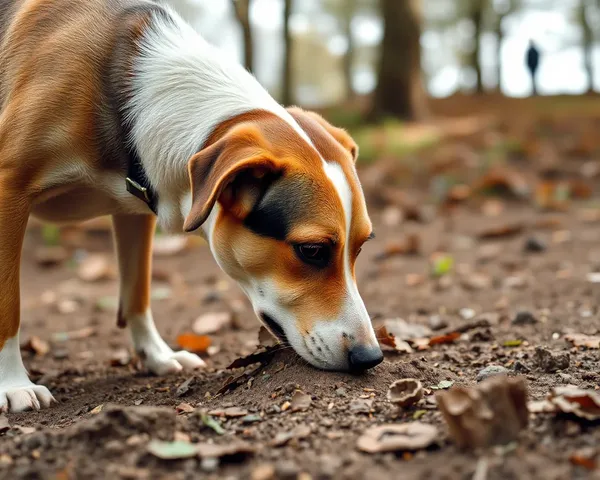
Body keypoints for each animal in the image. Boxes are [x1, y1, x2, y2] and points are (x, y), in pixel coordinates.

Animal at [0, 0, 382, 412]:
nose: (371, 357)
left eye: (361, 247)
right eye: (311, 250)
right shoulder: (8, 190)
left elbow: (138, 290)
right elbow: (8, 303)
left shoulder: (135, 205)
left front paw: (156, 355)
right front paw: (12, 383)